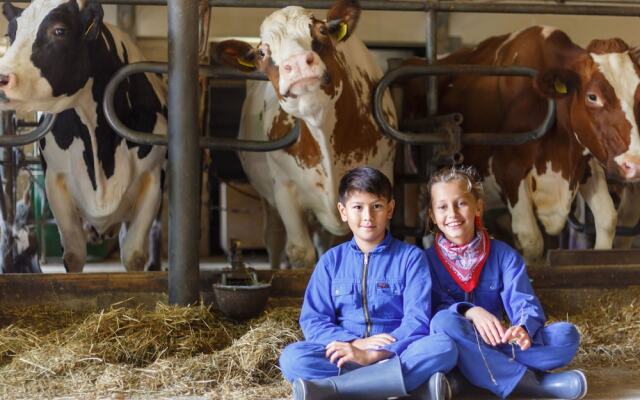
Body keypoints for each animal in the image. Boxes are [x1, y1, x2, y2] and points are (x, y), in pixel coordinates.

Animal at [0, 0, 168, 272]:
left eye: (59, 31)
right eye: (10, 34)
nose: (2, 78)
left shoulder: (152, 179)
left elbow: (133, 254)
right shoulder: (55, 181)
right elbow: (73, 254)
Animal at [215, 0, 396, 268]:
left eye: (321, 31)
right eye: (261, 53)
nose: (299, 63)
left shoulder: (383, 170)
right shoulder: (284, 188)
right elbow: (301, 252)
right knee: (274, 239)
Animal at [402, 25, 640, 262]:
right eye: (593, 96)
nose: (634, 164)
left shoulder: (585, 164)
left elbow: (607, 220)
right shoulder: (510, 172)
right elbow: (531, 239)